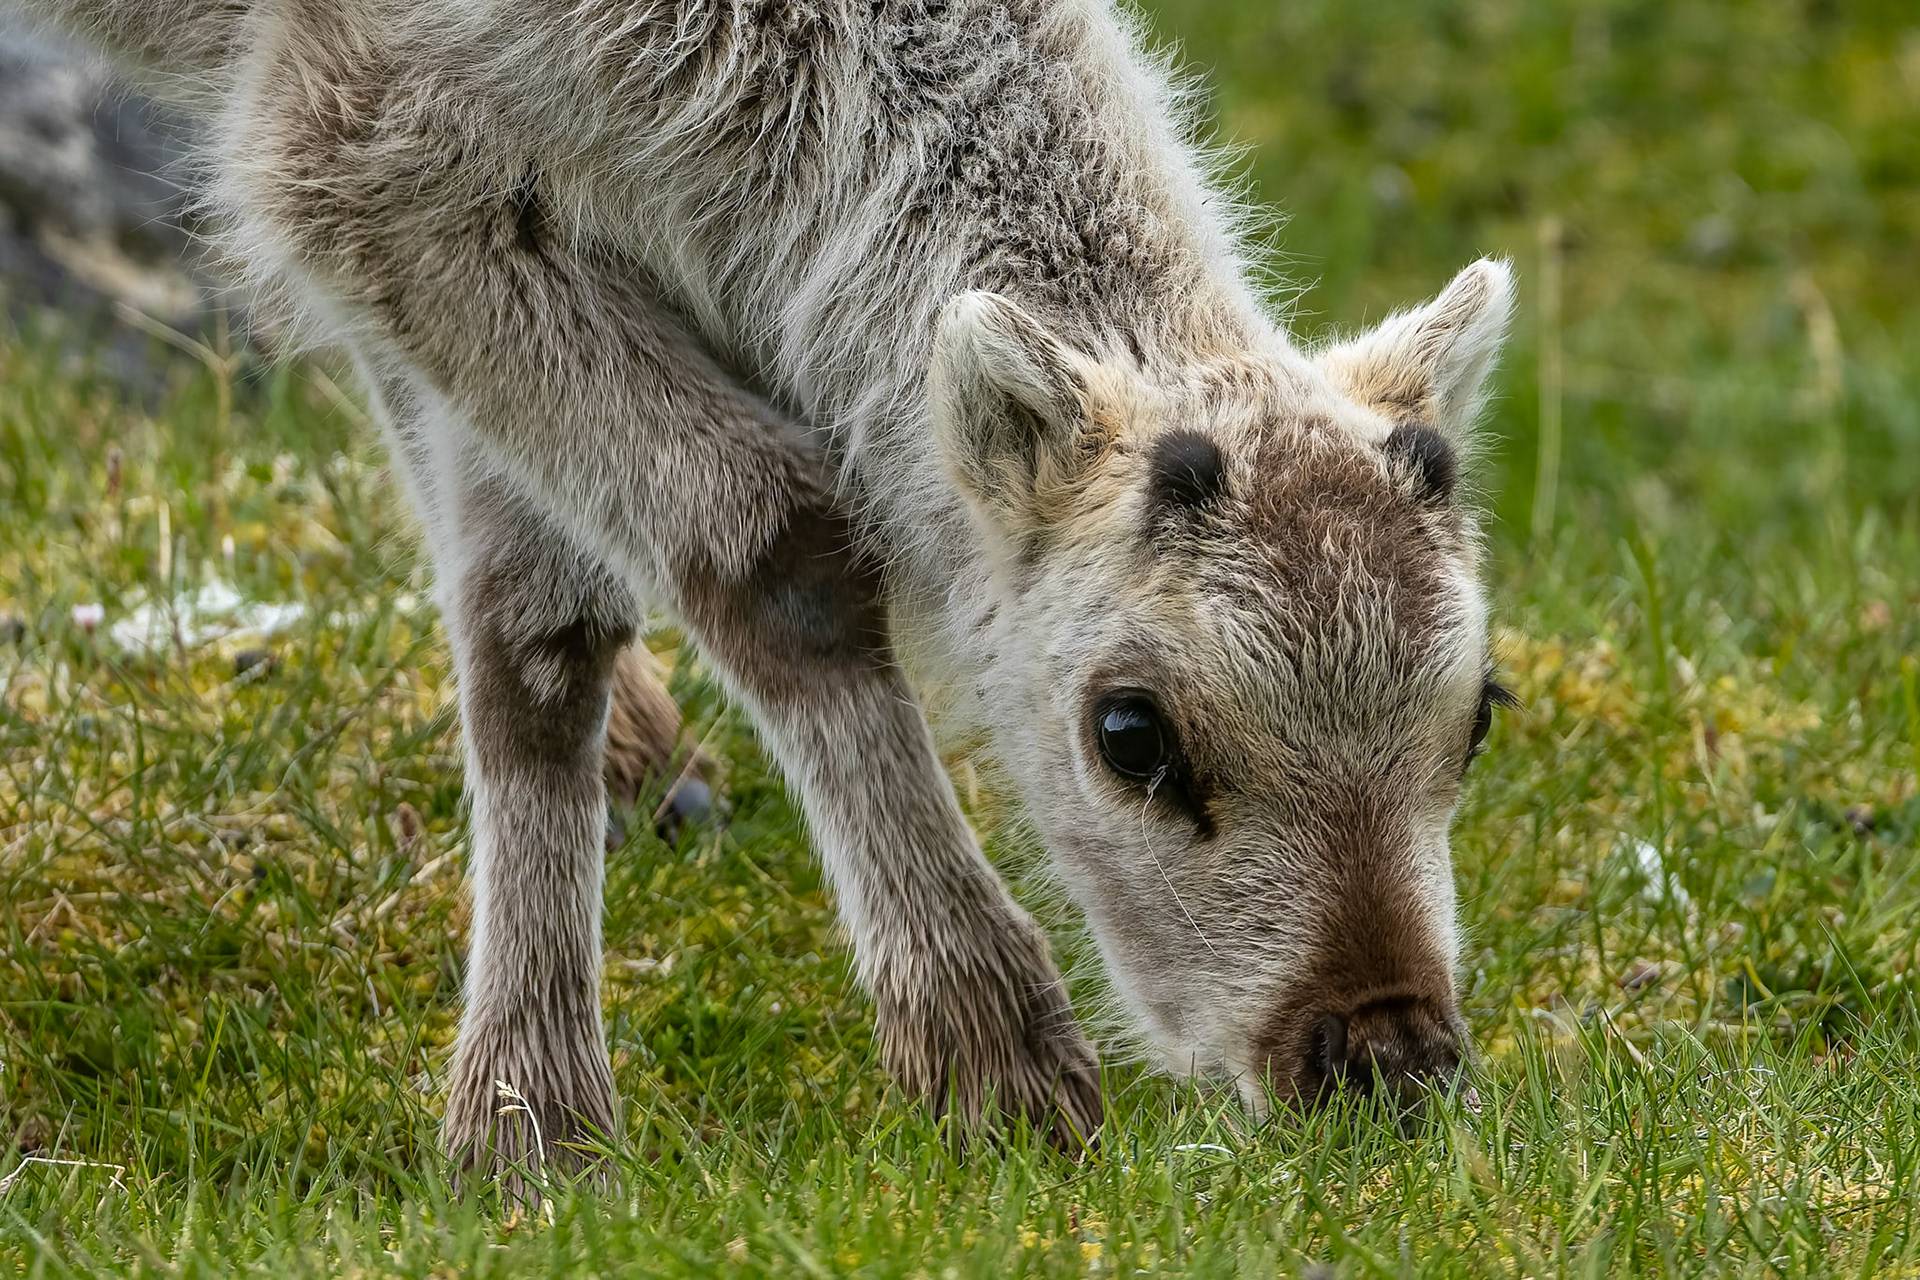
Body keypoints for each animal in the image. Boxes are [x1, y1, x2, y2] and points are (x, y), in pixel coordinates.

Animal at [11, 0, 1517, 1176]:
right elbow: (749, 551)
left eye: (1482, 709)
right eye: (1130, 732)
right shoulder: (356, 143)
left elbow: (531, 606)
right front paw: (990, 1063)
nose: (1384, 1054)